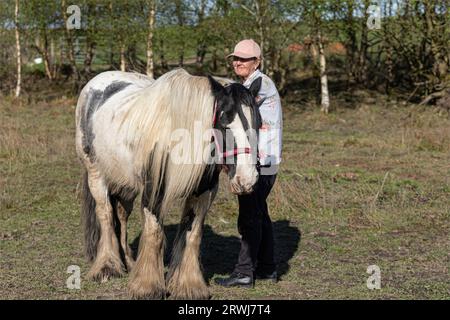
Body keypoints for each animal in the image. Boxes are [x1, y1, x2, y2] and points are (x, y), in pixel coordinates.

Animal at [75, 68, 262, 300]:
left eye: (258, 123)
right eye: (225, 122)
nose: (247, 179)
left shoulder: (203, 192)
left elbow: (193, 234)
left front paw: (189, 286)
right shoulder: (153, 192)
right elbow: (154, 233)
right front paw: (147, 287)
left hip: (126, 184)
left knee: (121, 215)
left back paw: (128, 262)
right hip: (96, 175)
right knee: (106, 215)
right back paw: (107, 267)